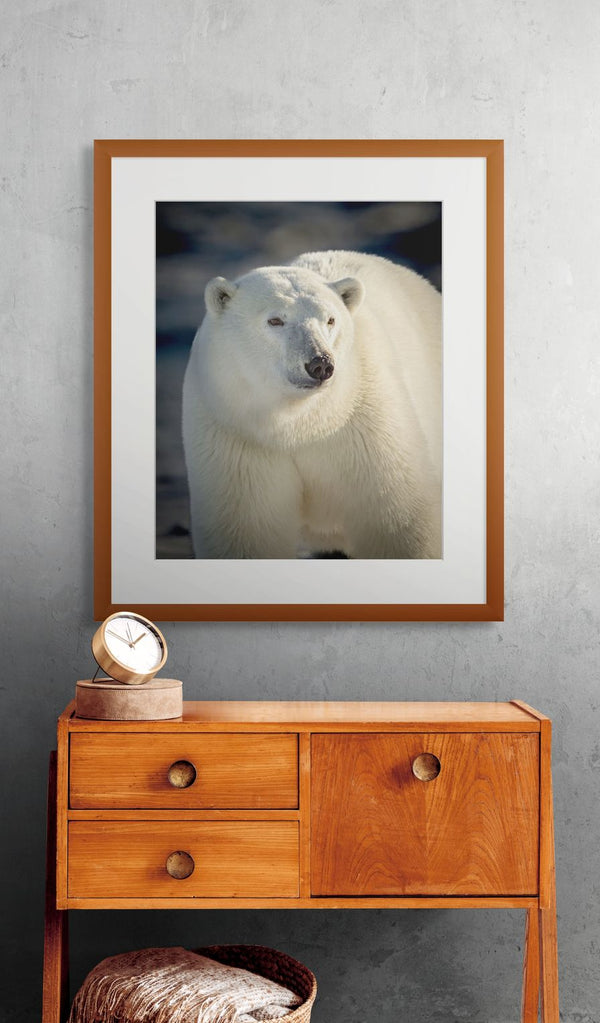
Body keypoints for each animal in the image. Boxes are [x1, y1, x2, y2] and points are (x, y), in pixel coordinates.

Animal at [182, 250, 441, 559]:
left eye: (330, 320)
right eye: (275, 320)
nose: (320, 364)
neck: (299, 424)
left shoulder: (363, 422)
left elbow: (398, 519)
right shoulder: (236, 435)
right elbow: (245, 531)